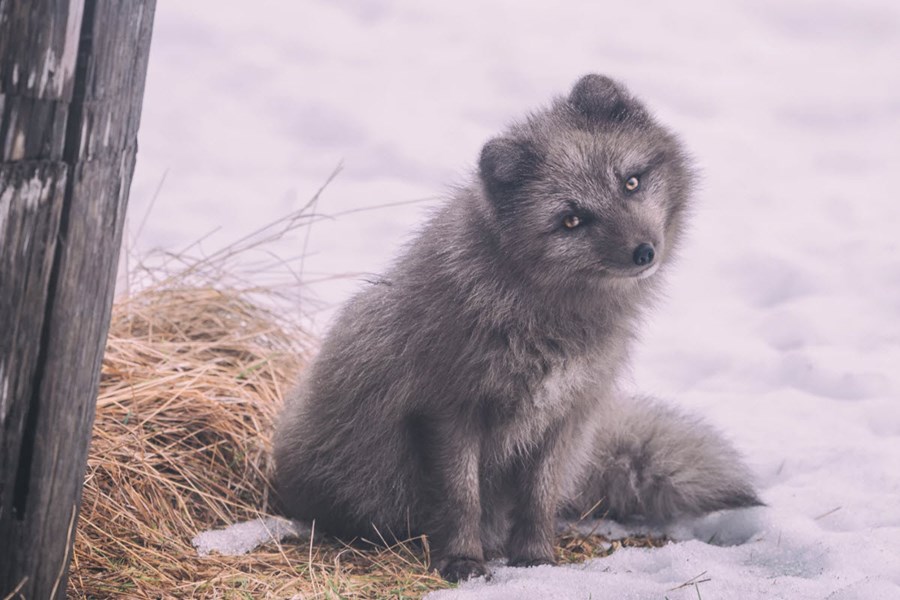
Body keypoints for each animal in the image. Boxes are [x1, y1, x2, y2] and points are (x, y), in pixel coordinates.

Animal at [273, 74, 761, 582]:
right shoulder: (450, 411)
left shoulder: (563, 415)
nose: (644, 252)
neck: (545, 320)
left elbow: (539, 498)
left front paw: (537, 560)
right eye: (571, 220)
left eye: (631, 182)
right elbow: (461, 498)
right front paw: (463, 561)